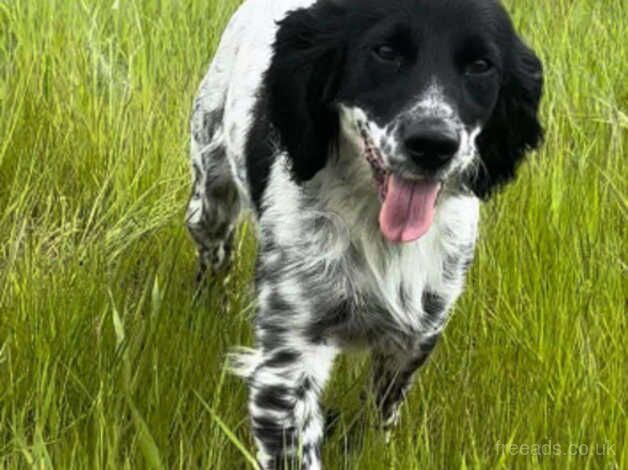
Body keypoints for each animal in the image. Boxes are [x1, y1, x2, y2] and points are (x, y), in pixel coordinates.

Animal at [185, 0, 540, 466]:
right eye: (386, 52)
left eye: (481, 65)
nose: (432, 144)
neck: (374, 223)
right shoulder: (291, 353)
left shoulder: (418, 332)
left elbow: (381, 410)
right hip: (209, 197)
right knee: (215, 253)